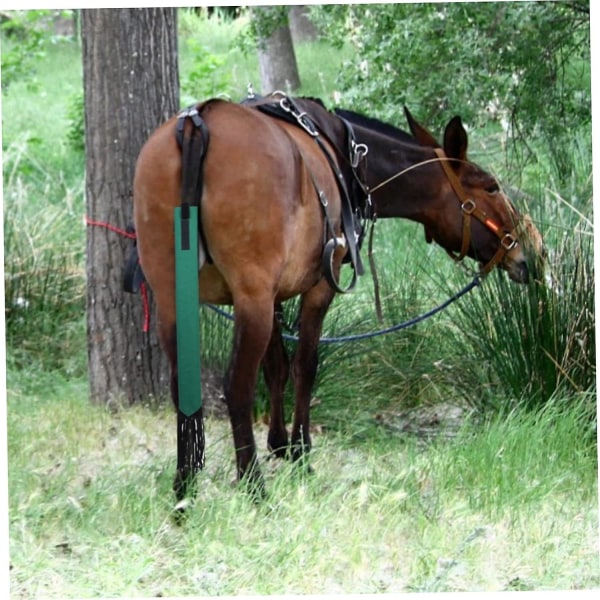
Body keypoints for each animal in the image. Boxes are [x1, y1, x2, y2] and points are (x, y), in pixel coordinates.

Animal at [134, 95, 548, 502]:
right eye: (491, 187)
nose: (532, 249)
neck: (348, 156)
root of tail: (197, 124)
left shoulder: (273, 296)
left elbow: (277, 366)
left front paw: (280, 443)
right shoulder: (314, 289)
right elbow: (305, 365)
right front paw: (301, 453)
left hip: (174, 299)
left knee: (183, 385)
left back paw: (185, 485)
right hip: (249, 297)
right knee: (237, 385)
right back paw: (253, 486)